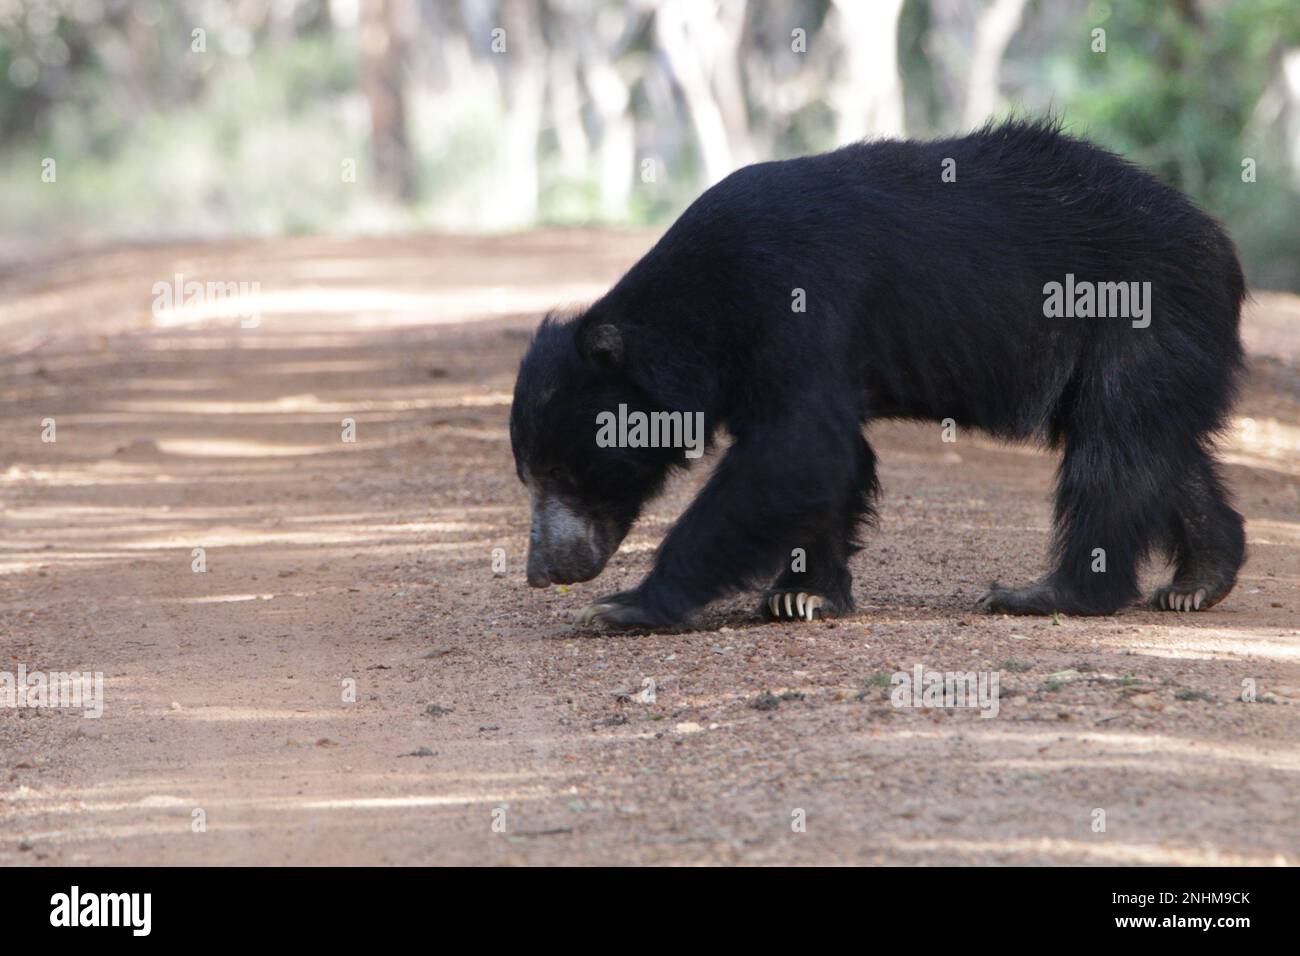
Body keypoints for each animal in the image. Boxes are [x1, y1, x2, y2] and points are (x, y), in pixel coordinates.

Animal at [506, 119, 1248, 629]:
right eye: (528, 476)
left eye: (562, 472)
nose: (543, 570)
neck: (701, 313)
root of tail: (1223, 250)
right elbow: (826, 457)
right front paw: (802, 595)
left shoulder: (795, 298)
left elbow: (796, 449)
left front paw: (623, 605)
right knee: (1152, 448)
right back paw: (1200, 577)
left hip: (1138, 317)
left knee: (1113, 452)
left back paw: (1046, 593)